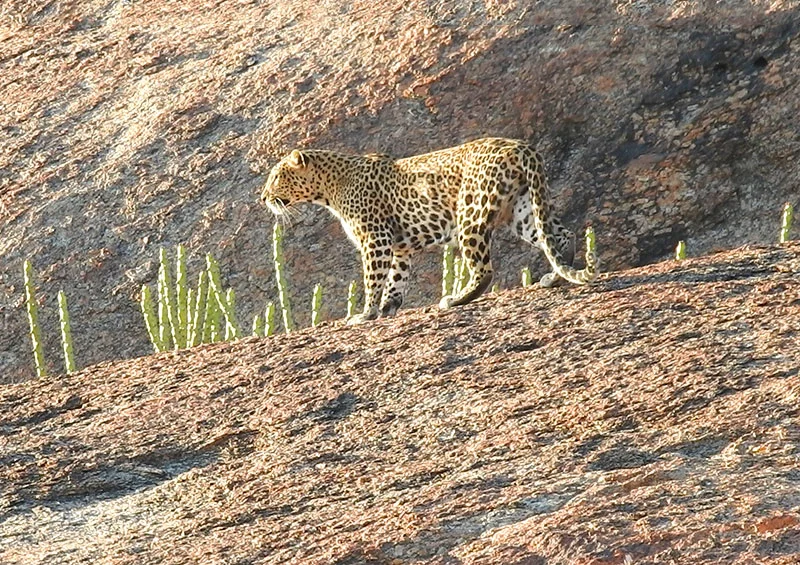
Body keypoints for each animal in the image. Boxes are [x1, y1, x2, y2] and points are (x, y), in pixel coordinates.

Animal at [260, 137, 596, 324]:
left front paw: (364, 314)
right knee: (561, 235)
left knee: (484, 269)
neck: (330, 187)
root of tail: (521, 146)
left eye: (276, 177)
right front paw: (387, 308)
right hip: (522, 210)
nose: (262, 198)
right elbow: (395, 280)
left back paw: (455, 299)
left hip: (471, 211)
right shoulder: (399, 248)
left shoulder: (375, 239)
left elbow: (372, 280)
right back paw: (556, 276)